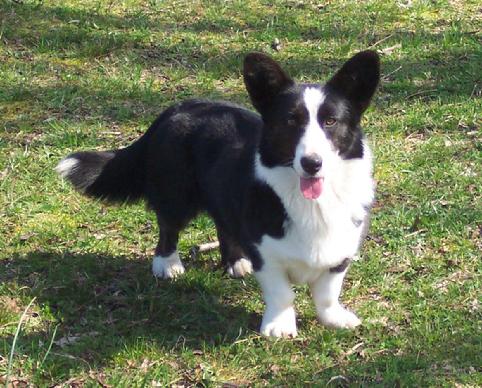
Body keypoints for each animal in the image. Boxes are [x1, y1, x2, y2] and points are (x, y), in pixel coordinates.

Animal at [57, 50, 380, 336]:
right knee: (168, 227)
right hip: (176, 195)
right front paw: (279, 327)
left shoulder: (341, 252)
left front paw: (334, 319)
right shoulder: (266, 255)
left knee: (223, 224)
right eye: (291, 121)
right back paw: (168, 265)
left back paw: (235, 262)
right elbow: (281, 293)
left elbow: (327, 293)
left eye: (331, 121)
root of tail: (175, 109)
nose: (312, 163)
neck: (313, 204)